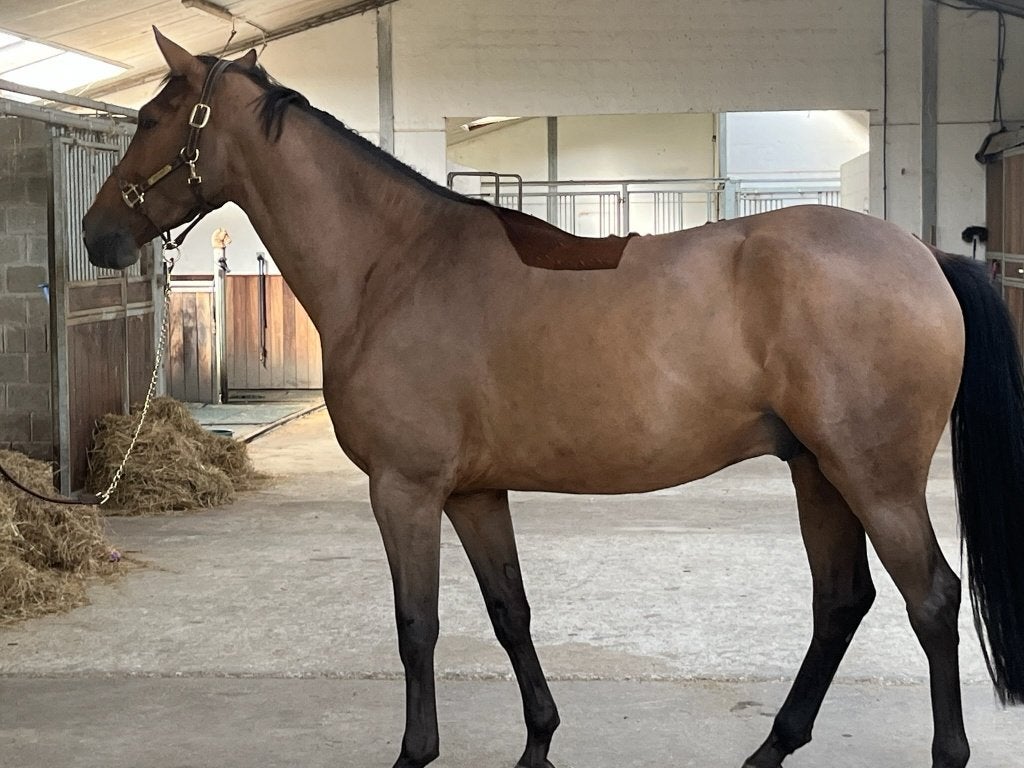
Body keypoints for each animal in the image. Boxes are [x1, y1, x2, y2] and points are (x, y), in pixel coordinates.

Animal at [83, 30, 1024, 768]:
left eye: (150, 121)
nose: (98, 235)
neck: (395, 265)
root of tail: (924, 255)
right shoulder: (473, 492)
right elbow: (509, 611)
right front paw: (538, 739)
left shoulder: (405, 490)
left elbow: (416, 625)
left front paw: (415, 752)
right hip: (816, 471)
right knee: (842, 601)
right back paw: (772, 746)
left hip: (874, 478)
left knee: (930, 600)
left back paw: (941, 752)